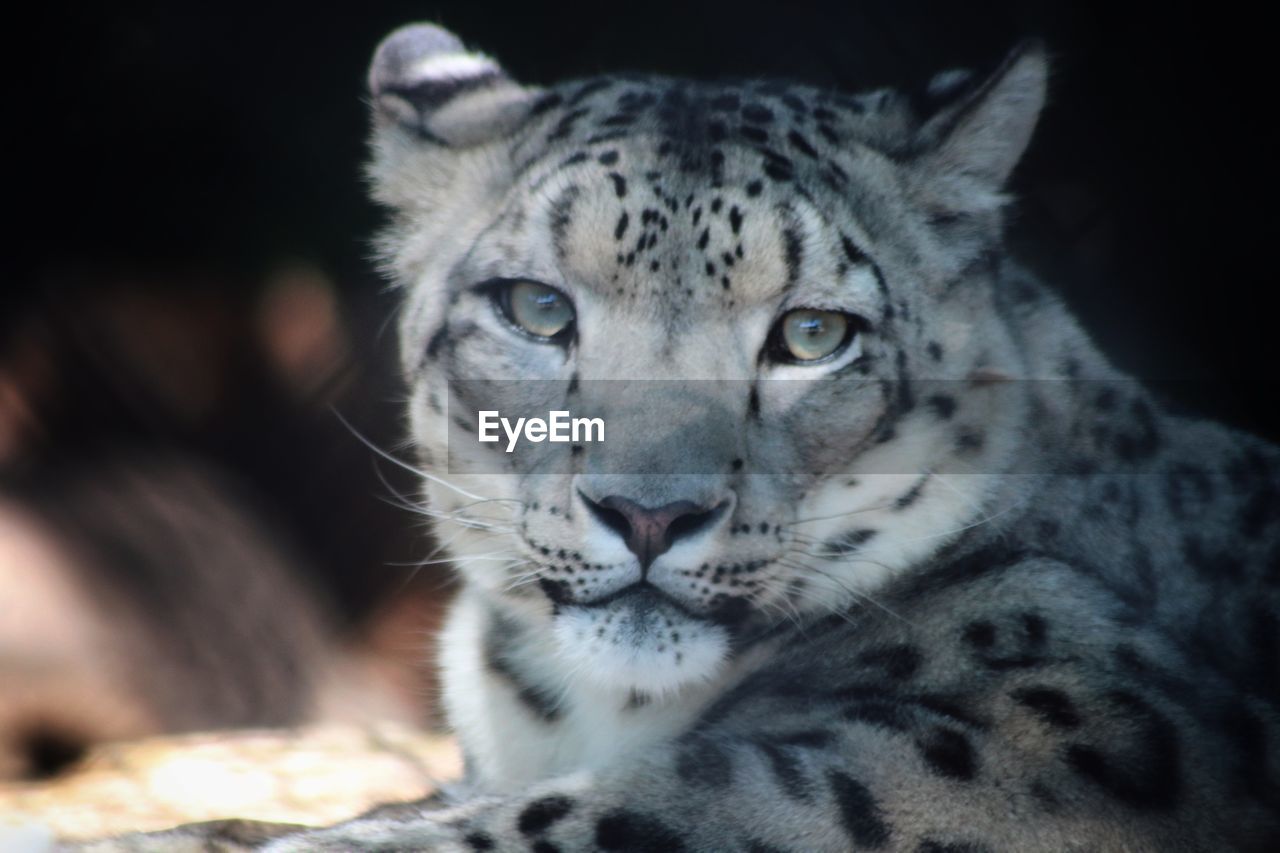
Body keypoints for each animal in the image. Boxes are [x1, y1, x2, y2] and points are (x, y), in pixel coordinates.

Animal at [74, 21, 1274, 850]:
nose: (650, 513)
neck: (578, 716)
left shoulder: (991, 752)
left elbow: (588, 817)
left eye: (810, 333)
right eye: (537, 308)